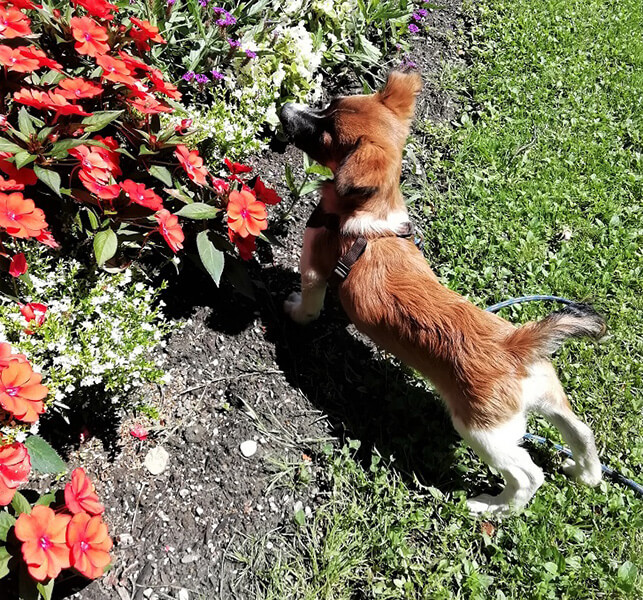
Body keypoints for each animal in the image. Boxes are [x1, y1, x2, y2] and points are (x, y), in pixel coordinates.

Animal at [278, 71, 606, 515]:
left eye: (325, 133)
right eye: (329, 104)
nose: (284, 108)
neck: (371, 218)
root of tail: (517, 347)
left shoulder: (314, 266)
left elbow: (309, 303)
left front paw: (292, 310)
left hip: (483, 432)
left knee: (528, 475)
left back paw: (493, 506)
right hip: (547, 395)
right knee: (581, 431)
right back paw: (586, 473)